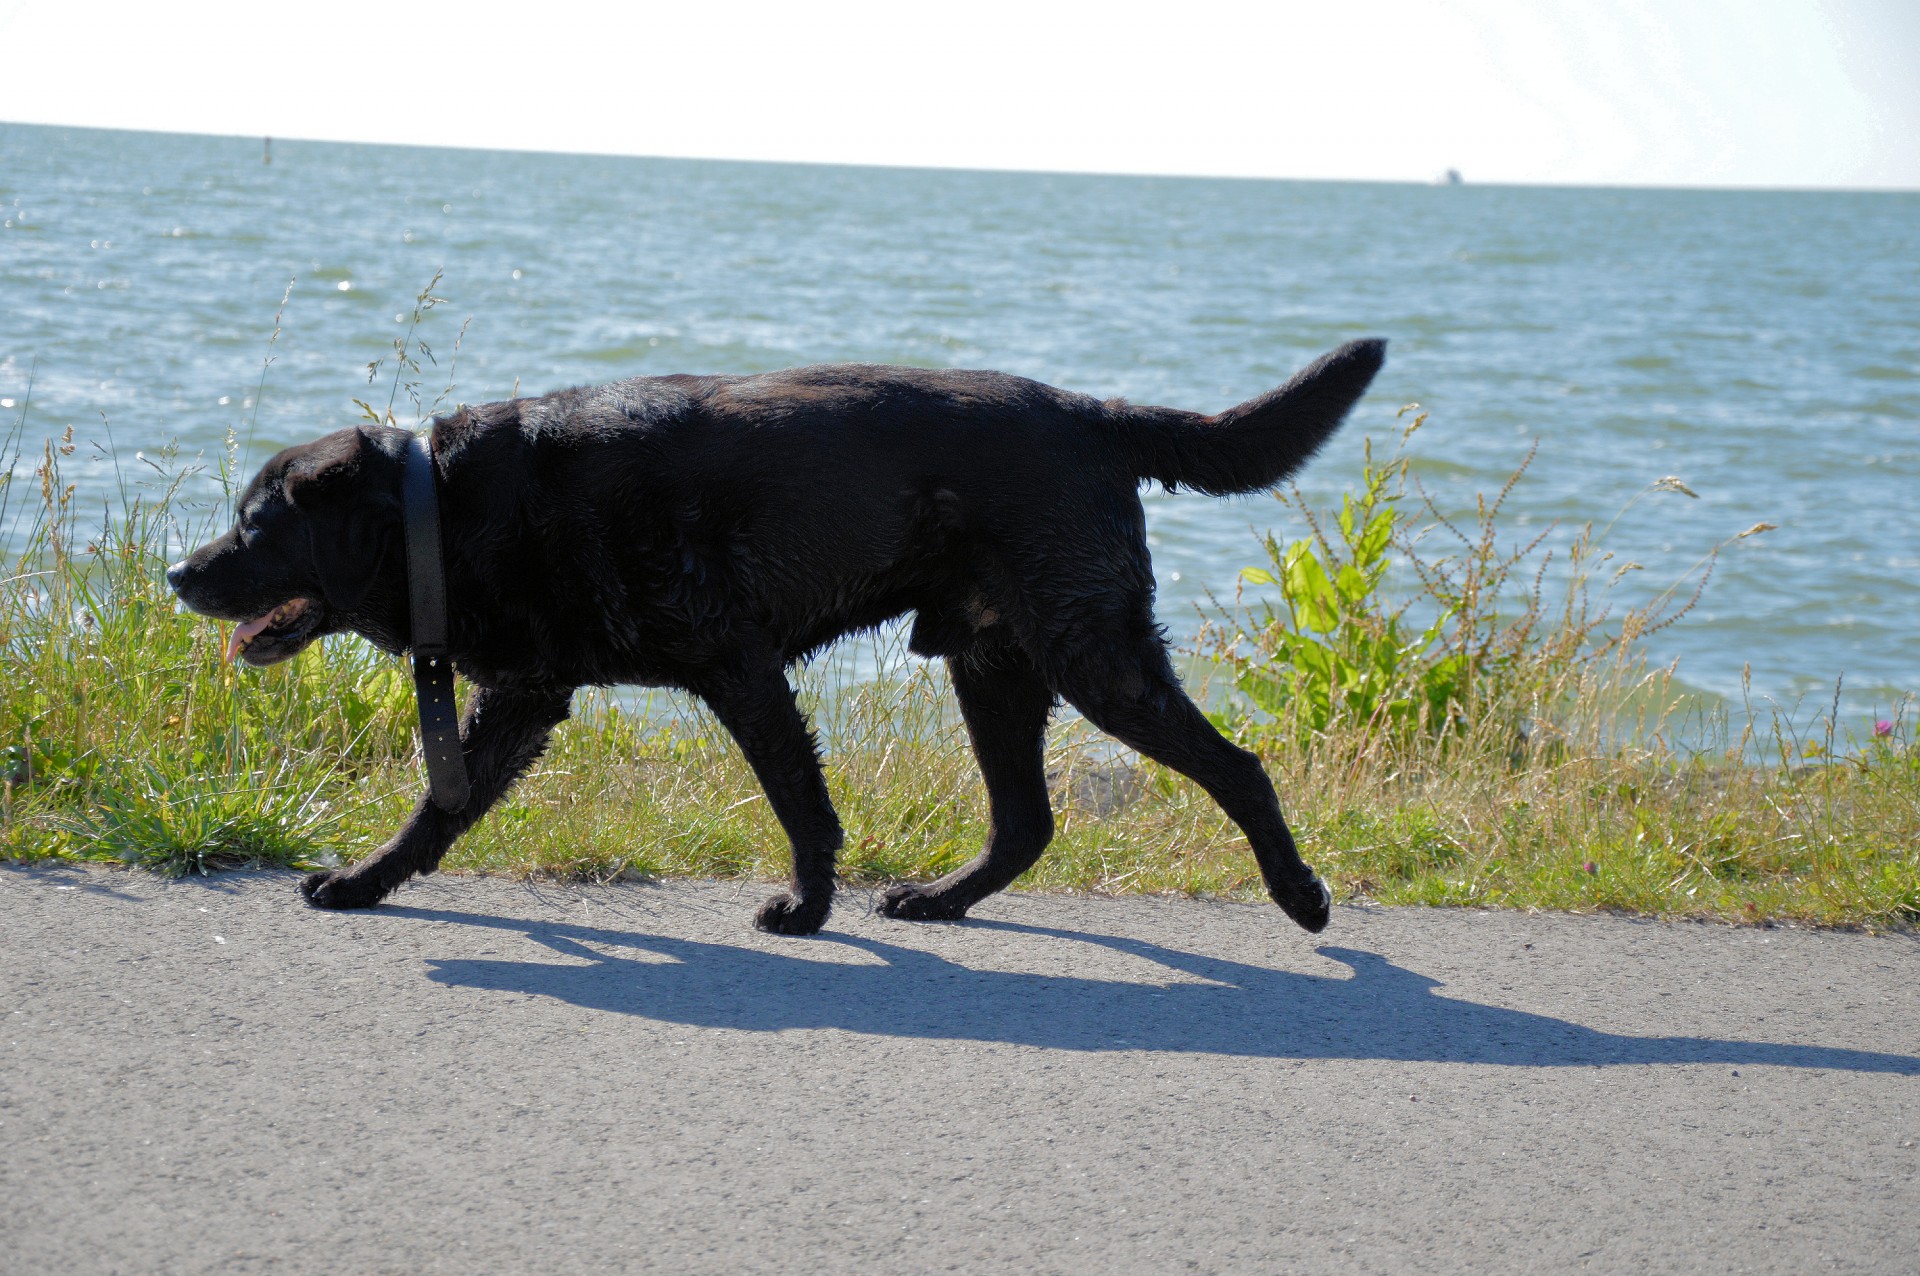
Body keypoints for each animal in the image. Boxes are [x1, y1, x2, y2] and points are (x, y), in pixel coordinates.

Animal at [168, 341, 1382, 936]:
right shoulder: (524, 696)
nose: (178, 573)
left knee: (1239, 767)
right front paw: (366, 882)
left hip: (1097, 659)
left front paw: (805, 910)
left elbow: (804, 807)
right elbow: (437, 810)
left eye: (254, 524)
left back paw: (1300, 895)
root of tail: (1096, 413)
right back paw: (940, 900)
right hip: (994, 664)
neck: (448, 504)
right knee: (1027, 822)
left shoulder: (738, 670)